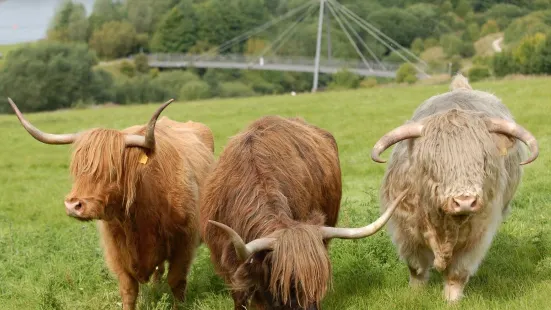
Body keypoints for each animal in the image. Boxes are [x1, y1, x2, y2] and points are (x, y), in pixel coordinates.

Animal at [9, 98, 216, 308]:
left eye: (113, 170)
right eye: (77, 168)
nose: (73, 206)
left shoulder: (185, 241)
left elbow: (176, 281)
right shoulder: (116, 251)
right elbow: (128, 290)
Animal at [370, 74, 540, 302]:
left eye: (483, 160)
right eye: (434, 162)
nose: (465, 202)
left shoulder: (477, 233)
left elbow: (458, 272)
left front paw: (452, 300)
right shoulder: (404, 228)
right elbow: (416, 267)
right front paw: (415, 294)